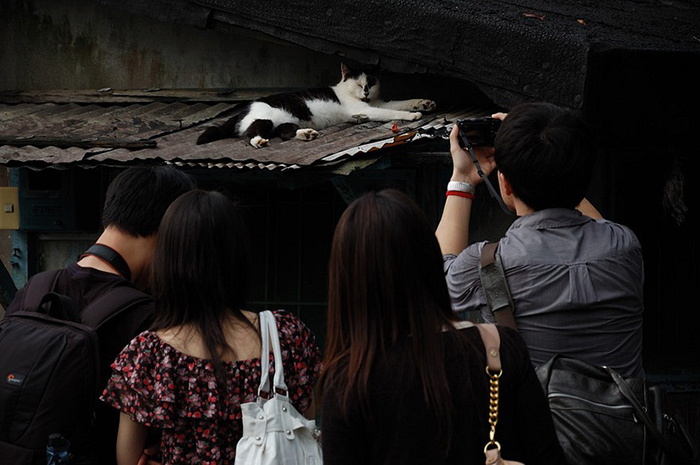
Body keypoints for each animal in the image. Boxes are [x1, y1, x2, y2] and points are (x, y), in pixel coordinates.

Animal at [197, 63, 434, 147]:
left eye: (371, 82)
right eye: (359, 84)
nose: (366, 91)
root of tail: (244, 109)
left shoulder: (378, 102)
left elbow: (400, 103)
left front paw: (424, 103)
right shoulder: (365, 109)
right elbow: (389, 112)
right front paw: (413, 116)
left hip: (284, 122)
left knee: (285, 133)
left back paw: (307, 134)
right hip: (264, 119)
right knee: (248, 135)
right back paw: (259, 142)